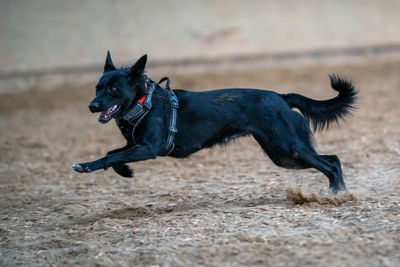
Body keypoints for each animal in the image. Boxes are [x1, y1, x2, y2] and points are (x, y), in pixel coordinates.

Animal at [73, 52, 358, 195]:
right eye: (97, 87)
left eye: (112, 89)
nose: (92, 106)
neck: (145, 102)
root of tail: (281, 96)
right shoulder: (134, 145)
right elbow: (113, 153)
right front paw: (125, 171)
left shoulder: (147, 148)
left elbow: (107, 156)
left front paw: (85, 166)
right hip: (283, 154)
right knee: (333, 159)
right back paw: (340, 192)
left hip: (289, 148)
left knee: (331, 164)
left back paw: (336, 194)